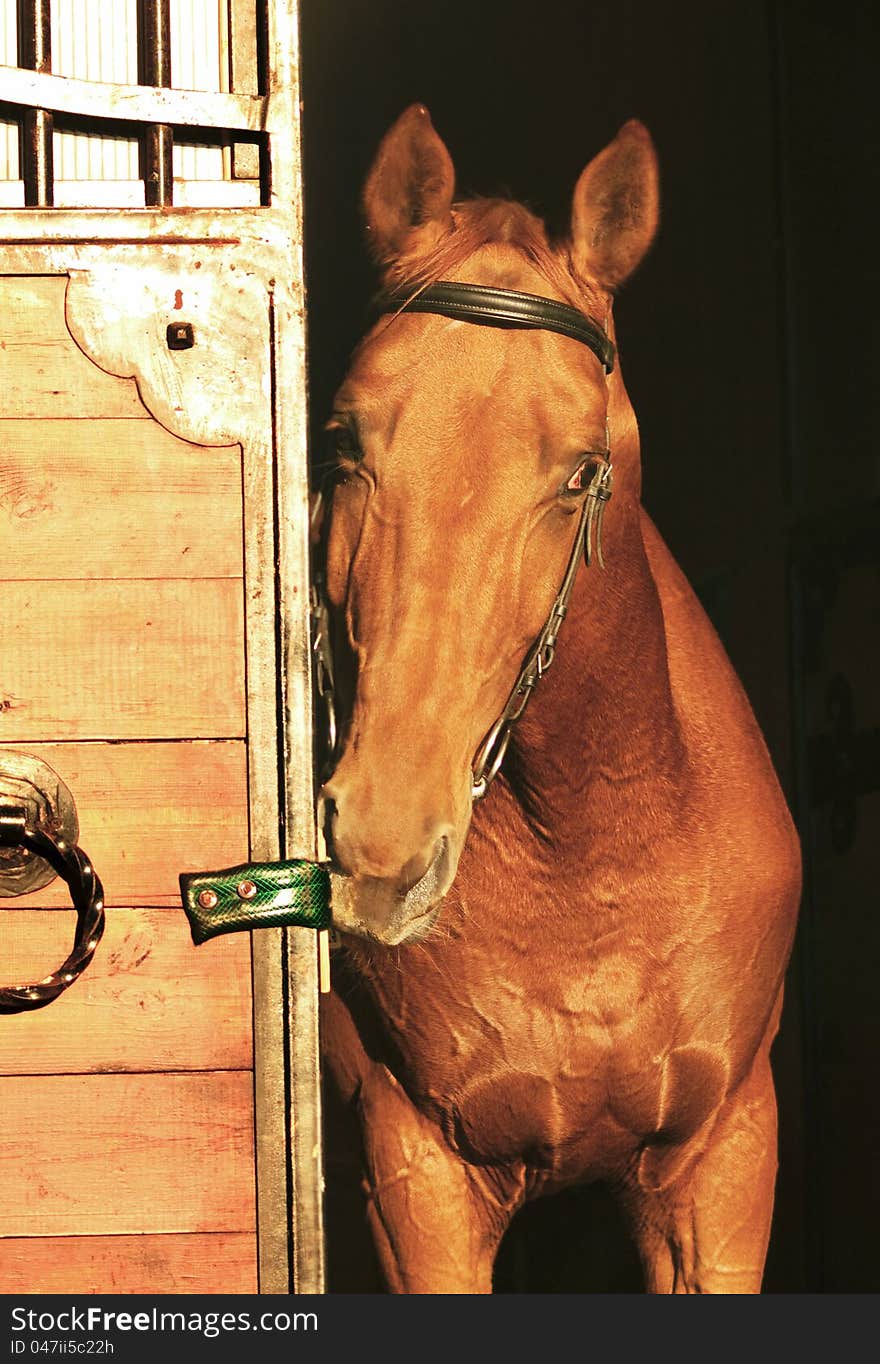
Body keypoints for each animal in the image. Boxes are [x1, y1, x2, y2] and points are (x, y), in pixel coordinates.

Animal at [313, 103, 796, 1287]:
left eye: (580, 471)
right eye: (345, 440)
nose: (382, 848)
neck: (593, 857)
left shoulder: (721, 1167)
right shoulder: (418, 1184)